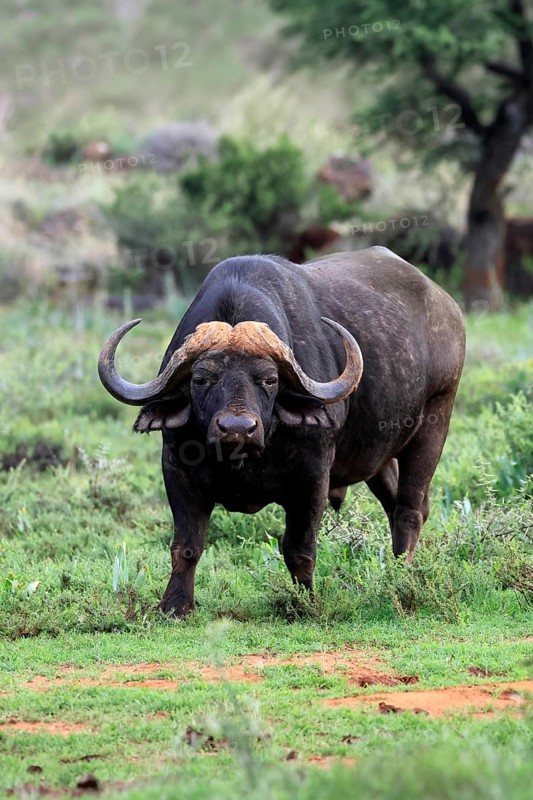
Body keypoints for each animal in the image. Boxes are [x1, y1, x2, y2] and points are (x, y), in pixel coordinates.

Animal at [98, 248, 465, 616]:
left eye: (269, 380)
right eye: (200, 379)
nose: (237, 428)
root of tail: (447, 306)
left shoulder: (312, 477)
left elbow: (299, 548)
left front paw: (304, 604)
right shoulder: (176, 470)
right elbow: (187, 545)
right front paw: (175, 605)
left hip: (434, 426)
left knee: (410, 511)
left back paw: (404, 579)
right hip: (377, 455)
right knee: (396, 505)